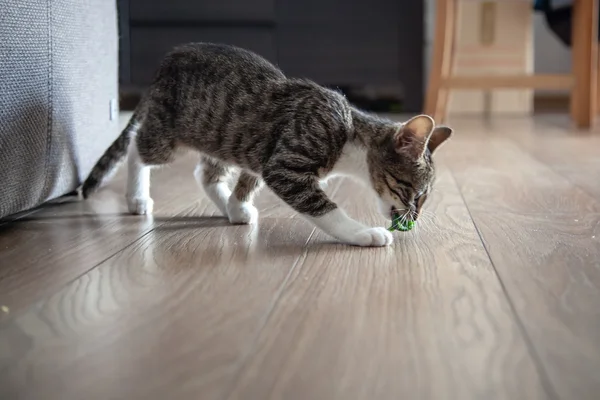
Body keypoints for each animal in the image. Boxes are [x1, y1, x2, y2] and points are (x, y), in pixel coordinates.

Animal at [82, 41, 452, 247]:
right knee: (137, 145)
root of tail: (166, 62)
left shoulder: (261, 154)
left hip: (224, 136)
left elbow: (247, 183)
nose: (416, 216)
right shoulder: (283, 165)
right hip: (171, 133)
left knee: (206, 173)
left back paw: (230, 209)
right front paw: (362, 233)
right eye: (416, 193)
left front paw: (236, 205)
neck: (348, 130)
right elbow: (324, 208)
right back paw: (137, 197)